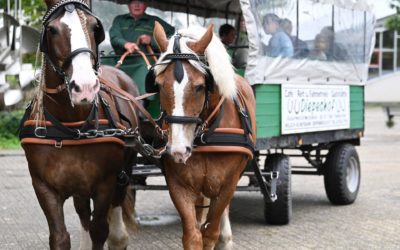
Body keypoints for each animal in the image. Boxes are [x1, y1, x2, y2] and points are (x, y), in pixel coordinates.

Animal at [19, 0, 139, 249]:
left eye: (95, 27)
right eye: (52, 30)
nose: (85, 87)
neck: (70, 125)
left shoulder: (105, 184)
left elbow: (99, 230)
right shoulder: (43, 186)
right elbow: (60, 237)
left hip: (125, 169)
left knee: (115, 214)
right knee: (83, 212)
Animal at [150, 22, 256, 249]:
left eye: (200, 87)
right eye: (159, 85)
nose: (178, 150)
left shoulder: (227, 186)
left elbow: (210, 233)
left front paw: (220, 236)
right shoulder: (179, 185)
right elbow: (192, 235)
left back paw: (226, 237)